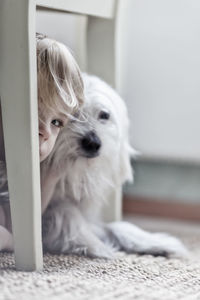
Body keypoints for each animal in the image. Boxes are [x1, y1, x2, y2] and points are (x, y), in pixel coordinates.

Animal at [41, 74, 188, 258]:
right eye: (71, 115)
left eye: (104, 115)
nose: (92, 143)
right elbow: (66, 213)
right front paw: (93, 244)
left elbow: (118, 226)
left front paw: (154, 242)